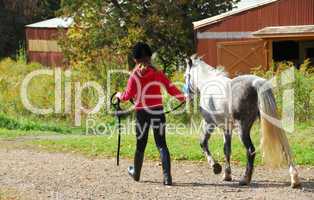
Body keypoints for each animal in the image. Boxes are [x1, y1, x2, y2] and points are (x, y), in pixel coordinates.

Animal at [184, 55, 302, 188]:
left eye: (186, 76)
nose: (187, 96)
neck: (208, 83)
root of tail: (256, 83)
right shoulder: (226, 128)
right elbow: (227, 150)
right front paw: (227, 175)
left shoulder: (208, 123)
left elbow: (203, 143)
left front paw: (216, 167)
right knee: (285, 147)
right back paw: (294, 179)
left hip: (242, 128)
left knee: (250, 150)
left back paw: (245, 179)